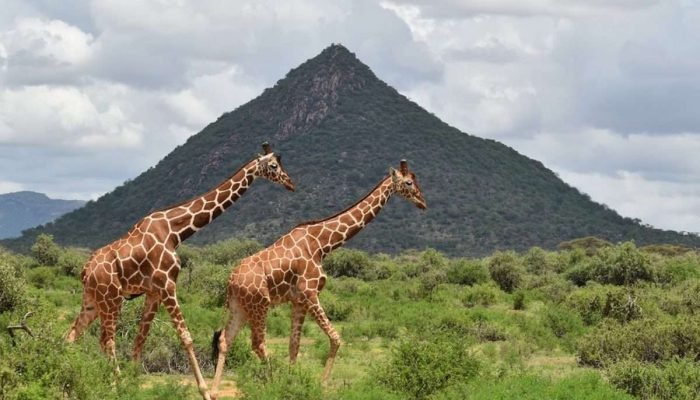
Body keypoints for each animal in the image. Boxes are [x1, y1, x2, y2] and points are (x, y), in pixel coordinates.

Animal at [64, 142, 294, 398]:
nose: (290, 183)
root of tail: (85, 270)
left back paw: (68, 382)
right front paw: (204, 391)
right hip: (111, 299)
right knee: (106, 340)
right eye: (273, 166)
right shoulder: (167, 284)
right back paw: (115, 385)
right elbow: (186, 337)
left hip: (92, 300)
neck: (176, 232)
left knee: (72, 335)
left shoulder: (154, 292)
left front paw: (133, 382)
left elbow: (140, 339)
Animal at [208, 159, 426, 396]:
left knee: (225, 340)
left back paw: (213, 391)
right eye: (408, 182)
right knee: (258, 343)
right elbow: (336, 338)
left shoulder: (298, 300)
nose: (422, 202)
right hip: (260, 304)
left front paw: (293, 381)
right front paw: (318, 385)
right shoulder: (309, 292)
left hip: (240, 306)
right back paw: (272, 384)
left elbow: (294, 345)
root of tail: (231, 281)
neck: (322, 244)